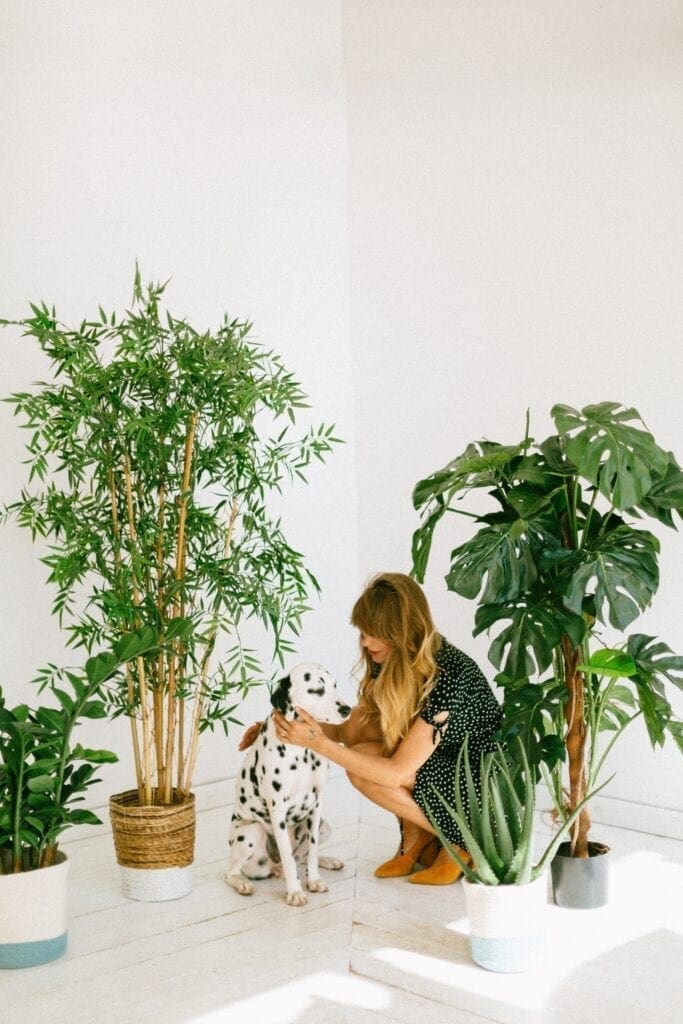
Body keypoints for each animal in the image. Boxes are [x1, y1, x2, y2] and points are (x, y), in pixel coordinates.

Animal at [225, 663, 352, 905]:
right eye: (316, 690)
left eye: (334, 686)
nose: (346, 710)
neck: (301, 751)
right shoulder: (278, 810)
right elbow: (287, 857)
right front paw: (294, 891)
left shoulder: (316, 805)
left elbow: (312, 850)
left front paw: (314, 880)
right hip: (252, 831)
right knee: (231, 871)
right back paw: (244, 883)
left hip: (324, 826)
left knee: (301, 858)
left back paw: (327, 861)